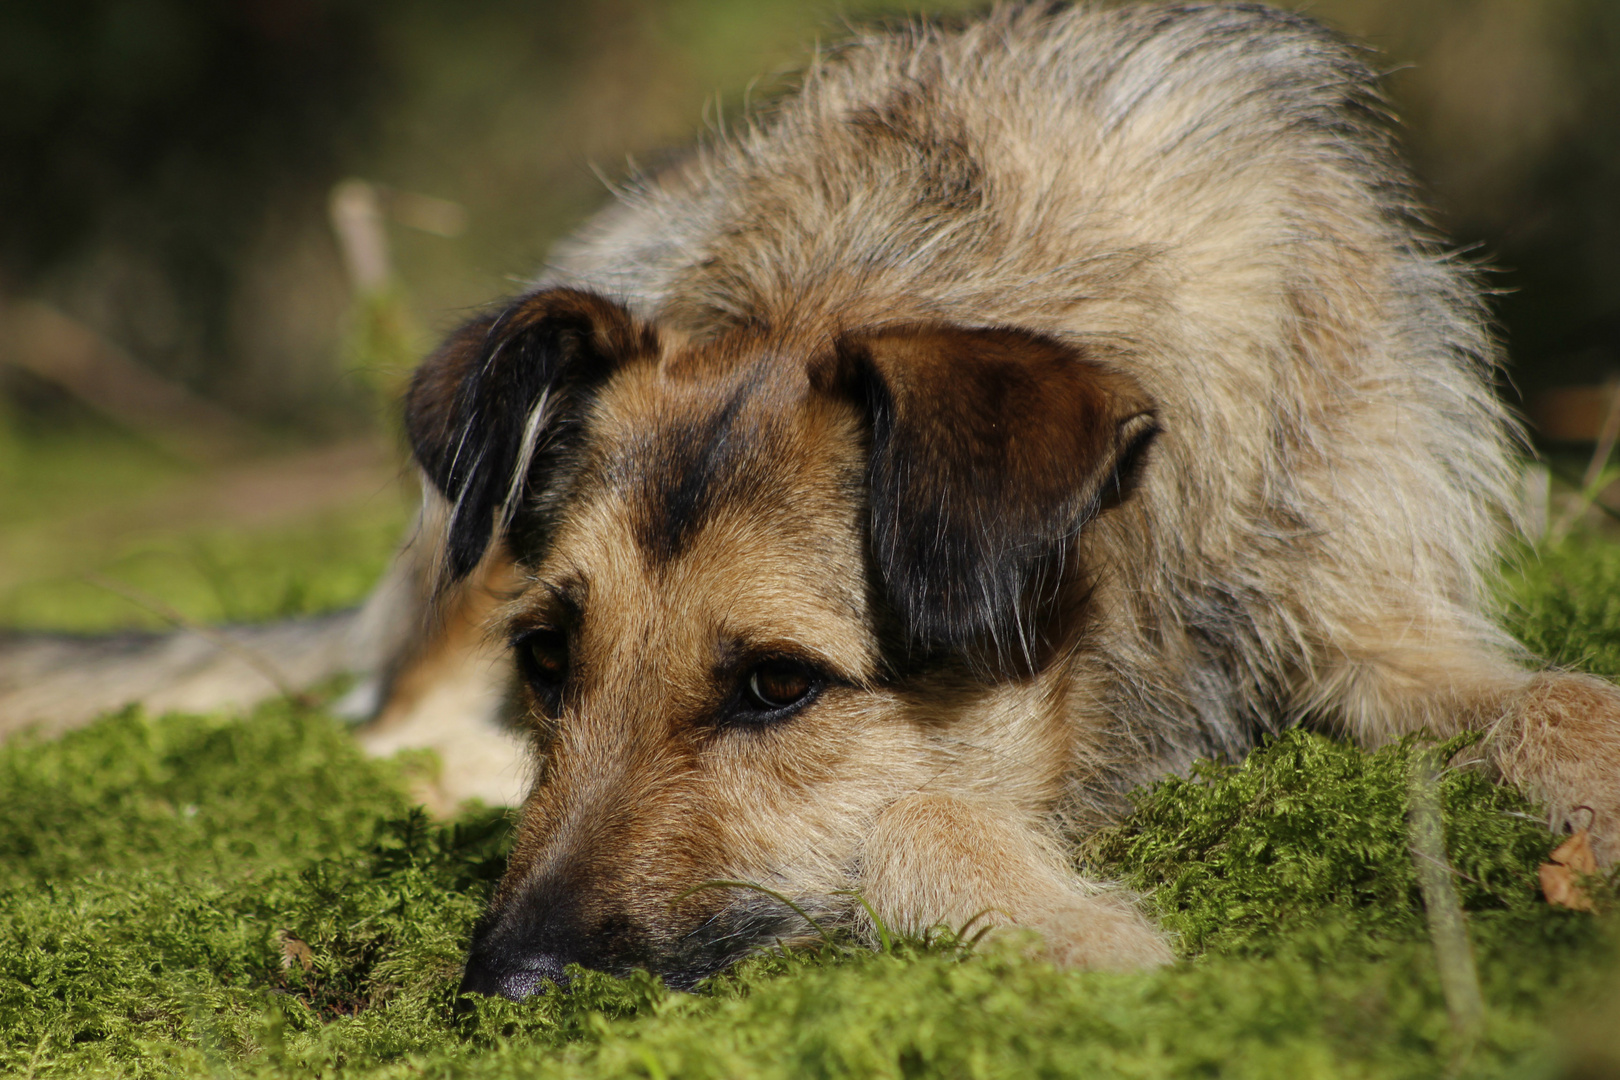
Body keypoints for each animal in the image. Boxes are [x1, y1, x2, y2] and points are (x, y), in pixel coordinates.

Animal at [392, 2, 1620, 997]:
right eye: (548, 655)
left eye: (778, 684)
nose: (508, 988)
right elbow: (918, 808)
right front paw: (1081, 932)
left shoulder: (1357, 609)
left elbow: (1561, 697)